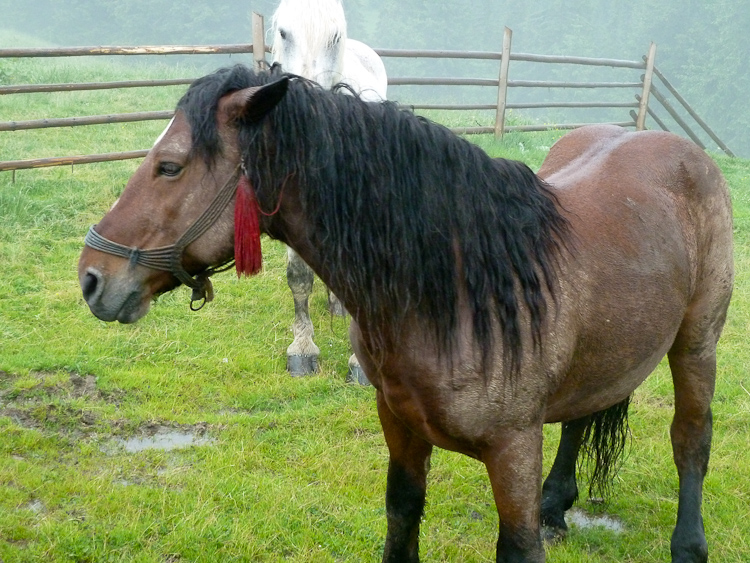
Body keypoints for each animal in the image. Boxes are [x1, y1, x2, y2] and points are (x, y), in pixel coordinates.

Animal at [78, 65, 733, 562]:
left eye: (170, 166)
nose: (91, 278)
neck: (457, 289)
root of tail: (677, 148)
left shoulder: (514, 450)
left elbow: (518, 545)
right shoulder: (399, 427)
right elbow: (402, 519)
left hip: (696, 346)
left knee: (690, 441)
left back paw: (687, 545)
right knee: (582, 415)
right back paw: (558, 504)